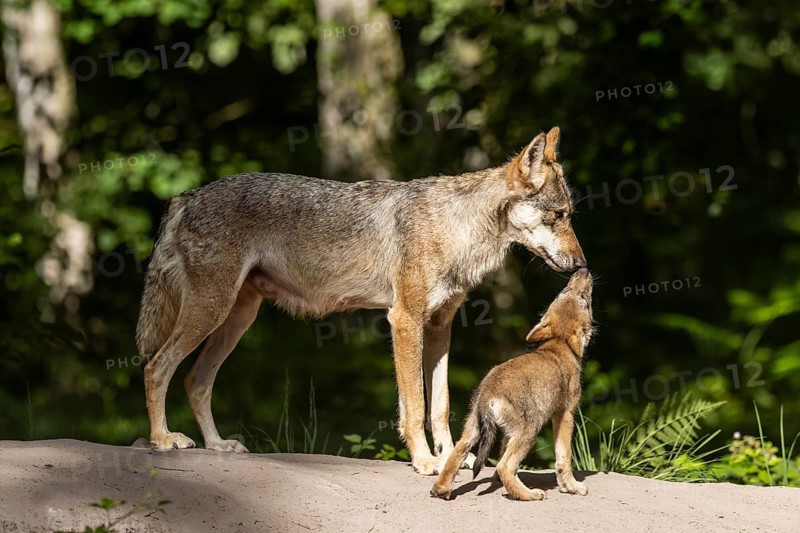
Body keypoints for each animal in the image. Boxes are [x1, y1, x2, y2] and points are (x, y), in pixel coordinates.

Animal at [136, 126, 586, 475]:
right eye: (558, 216)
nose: (583, 264)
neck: (456, 229)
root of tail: (187, 195)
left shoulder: (440, 328)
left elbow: (440, 406)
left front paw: (449, 458)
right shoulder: (404, 321)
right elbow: (415, 407)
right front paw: (426, 462)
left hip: (236, 319)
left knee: (196, 381)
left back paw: (216, 445)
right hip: (210, 312)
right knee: (157, 366)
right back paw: (162, 439)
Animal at [431, 268, 594, 499]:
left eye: (563, 291)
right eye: (585, 301)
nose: (583, 270)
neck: (558, 345)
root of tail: (488, 393)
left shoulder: (509, 433)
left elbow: (502, 451)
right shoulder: (565, 415)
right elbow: (564, 458)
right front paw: (572, 487)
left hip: (474, 427)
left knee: (458, 452)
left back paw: (441, 489)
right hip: (530, 430)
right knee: (504, 466)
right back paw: (529, 495)